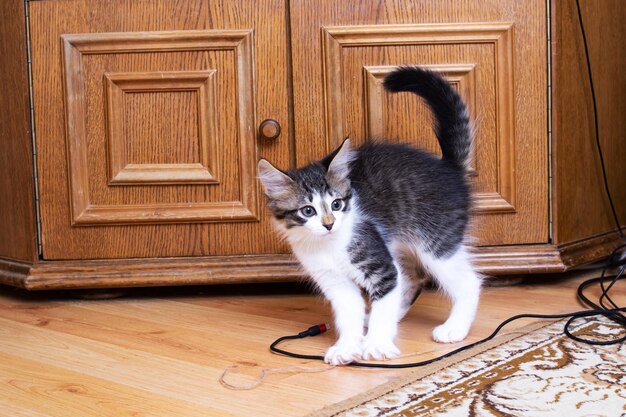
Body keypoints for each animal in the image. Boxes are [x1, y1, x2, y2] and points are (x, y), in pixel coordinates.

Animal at [256, 65, 480, 364]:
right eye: (308, 210)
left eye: (336, 204)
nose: (329, 224)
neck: (330, 244)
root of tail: (447, 168)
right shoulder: (334, 281)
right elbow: (349, 311)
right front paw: (347, 345)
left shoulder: (380, 265)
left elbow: (385, 299)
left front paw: (376, 344)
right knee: (412, 280)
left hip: (437, 242)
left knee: (468, 282)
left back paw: (454, 328)